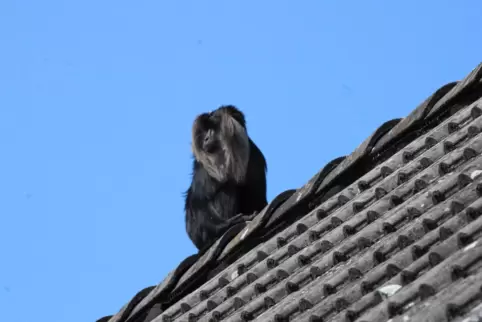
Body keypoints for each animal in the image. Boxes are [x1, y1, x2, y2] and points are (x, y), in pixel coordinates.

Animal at [185, 105, 268, 252]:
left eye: (213, 128)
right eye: (205, 131)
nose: (206, 138)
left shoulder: (254, 157)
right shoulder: (203, 168)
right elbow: (197, 202)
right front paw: (229, 224)